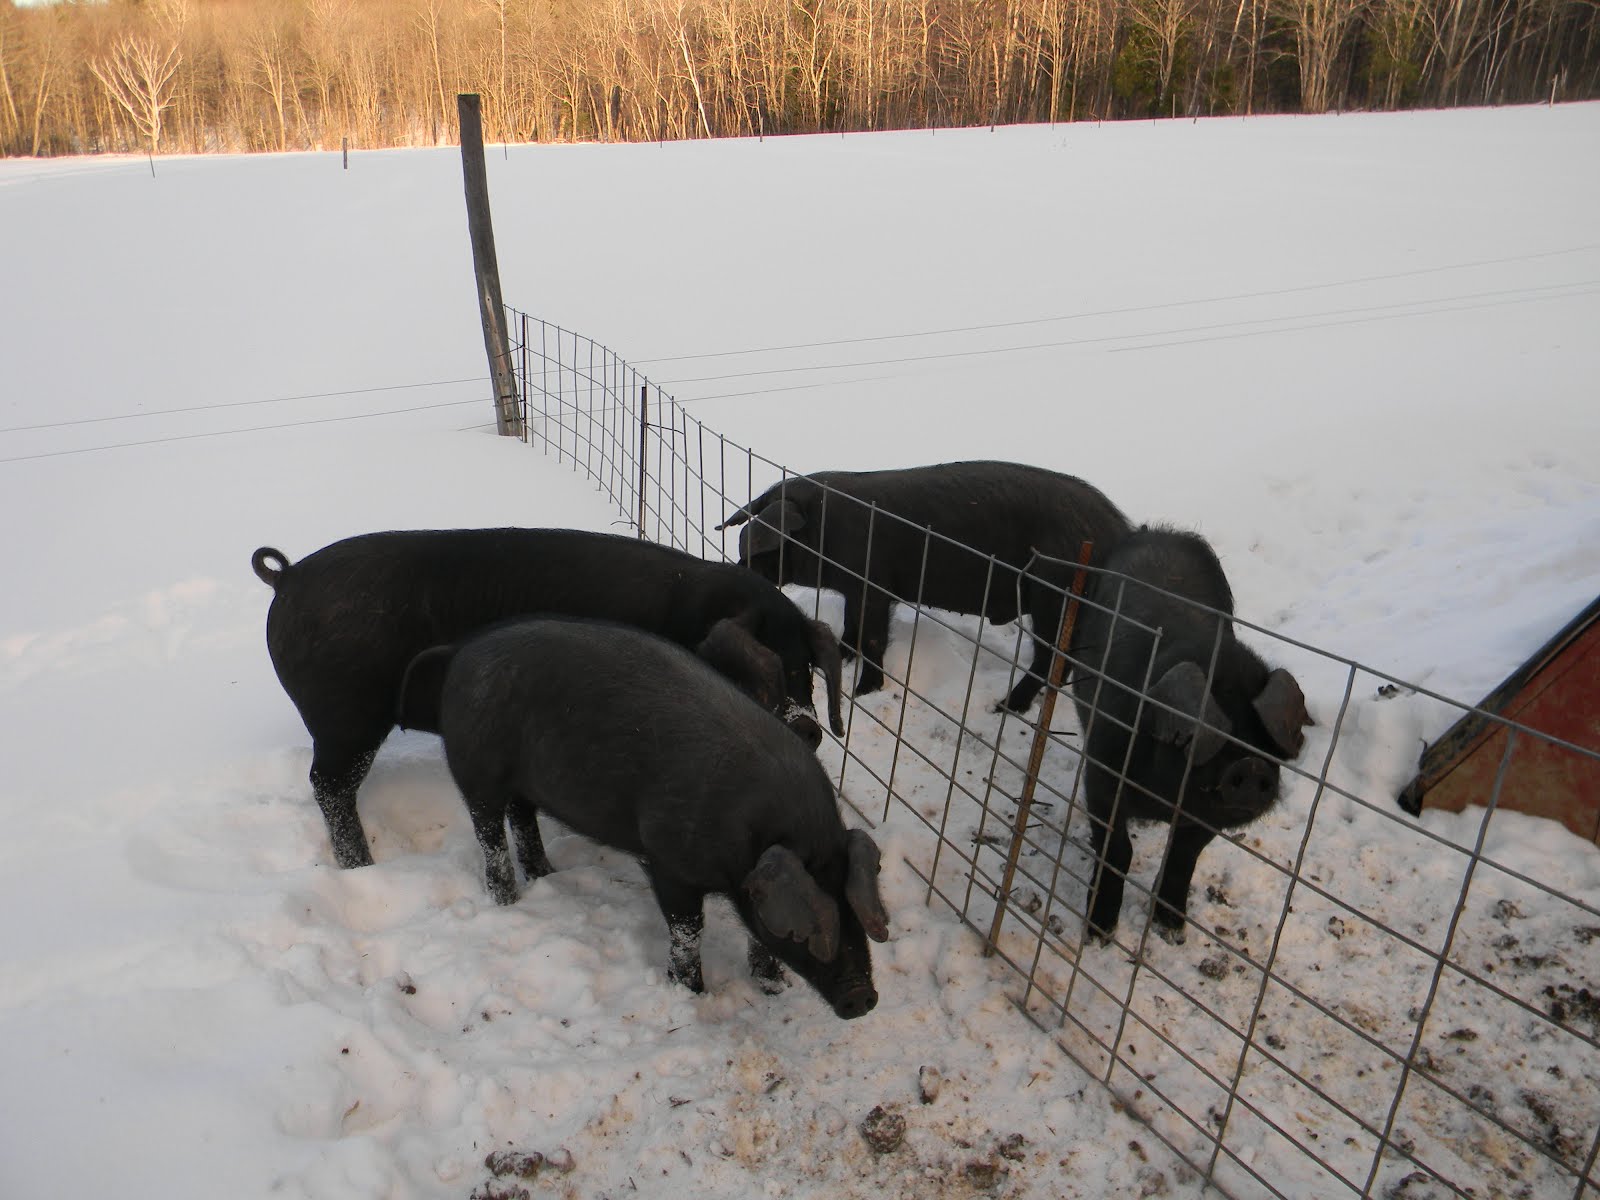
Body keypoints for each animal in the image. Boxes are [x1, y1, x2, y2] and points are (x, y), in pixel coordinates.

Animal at [251, 527, 844, 872]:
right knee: (329, 787)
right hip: (344, 718)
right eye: (759, 671)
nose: (808, 727)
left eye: (806, 671)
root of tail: (288, 578)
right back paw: (362, 866)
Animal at [397, 616, 889, 1019]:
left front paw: (774, 988)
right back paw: (507, 902)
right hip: (474, 766)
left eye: (857, 912)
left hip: (524, 783)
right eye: (807, 933)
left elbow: (755, 933)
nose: (863, 997)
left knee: (522, 819)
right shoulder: (667, 859)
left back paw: (545, 876)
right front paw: (690, 995)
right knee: (489, 833)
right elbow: (687, 930)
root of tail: (459, 653)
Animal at [718, 460, 1132, 713]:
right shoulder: (856, 587)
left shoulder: (875, 583)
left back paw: (1004, 708)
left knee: (1051, 659)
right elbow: (852, 625)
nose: (738, 569)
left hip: (1055, 597)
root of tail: (1119, 529)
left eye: (764, 547)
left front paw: (864, 692)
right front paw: (843, 656)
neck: (824, 531)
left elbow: (872, 636)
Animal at [1069, 527, 1311, 944]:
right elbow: (1117, 850)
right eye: (1201, 732)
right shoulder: (1100, 775)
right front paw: (1099, 933)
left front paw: (1173, 930)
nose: (1250, 765)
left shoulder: (1208, 819)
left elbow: (1183, 857)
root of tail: (1155, 530)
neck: (1164, 801)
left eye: (1263, 733)